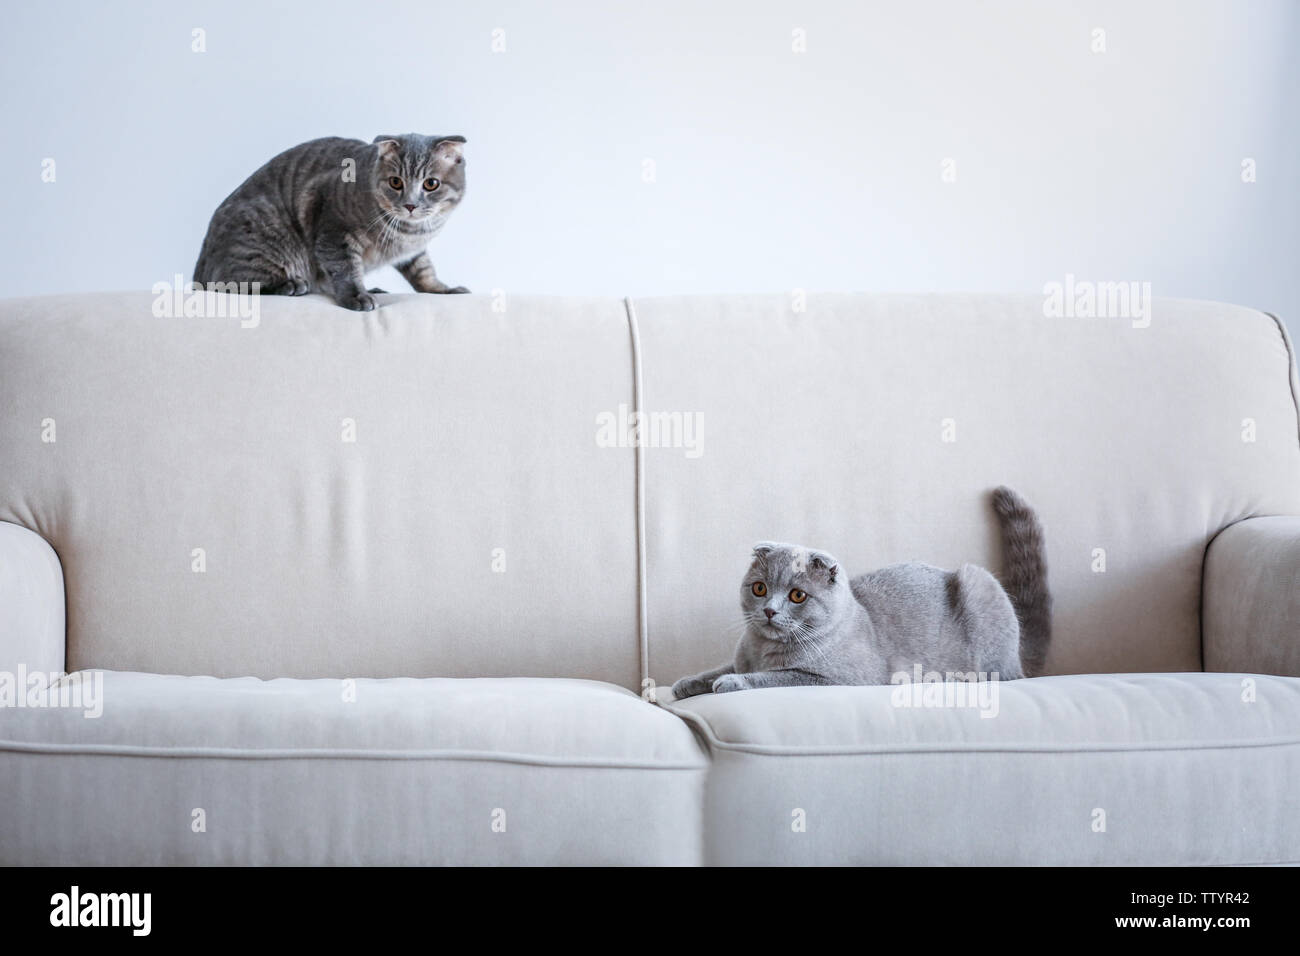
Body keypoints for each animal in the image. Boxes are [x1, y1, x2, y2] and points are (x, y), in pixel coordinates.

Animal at [192, 134, 467, 312]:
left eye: (431, 184)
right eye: (395, 182)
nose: (410, 205)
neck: (409, 232)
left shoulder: (414, 250)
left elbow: (424, 271)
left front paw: (443, 289)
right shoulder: (334, 230)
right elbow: (344, 268)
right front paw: (356, 296)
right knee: (230, 282)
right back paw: (290, 284)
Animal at [676, 486, 1050, 697]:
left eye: (797, 595)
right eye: (759, 588)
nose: (769, 609)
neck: (764, 650)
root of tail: (1020, 654)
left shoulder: (832, 679)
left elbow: (774, 678)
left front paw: (733, 684)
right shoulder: (741, 657)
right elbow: (719, 668)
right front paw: (688, 683)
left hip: (980, 584)